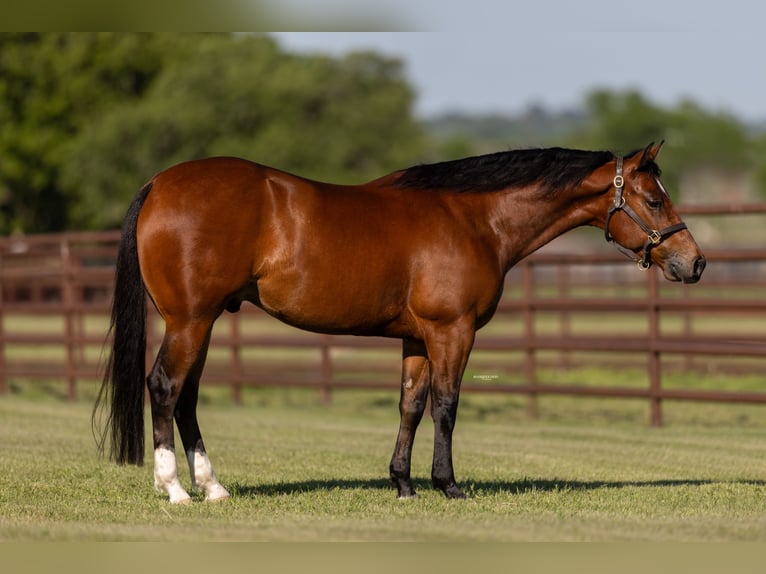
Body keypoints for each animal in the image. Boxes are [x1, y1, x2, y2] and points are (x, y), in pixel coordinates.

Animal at [94, 141, 705, 503]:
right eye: (654, 200)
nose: (694, 262)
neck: (475, 219)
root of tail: (159, 184)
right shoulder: (451, 331)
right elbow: (446, 406)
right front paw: (448, 485)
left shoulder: (416, 337)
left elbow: (410, 406)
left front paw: (403, 484)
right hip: (189, 321)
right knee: (165, 387)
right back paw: (175, 489)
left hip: (200, 323)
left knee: (187, 397)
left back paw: (214, 487)